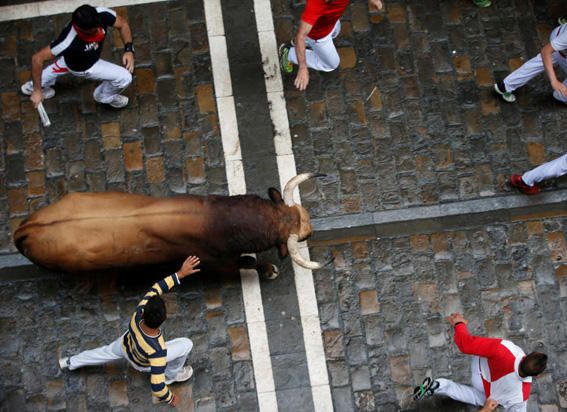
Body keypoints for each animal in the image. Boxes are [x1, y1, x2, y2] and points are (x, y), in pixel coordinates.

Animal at [13, 174, 326, 274]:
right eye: (301, 236)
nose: (310, 225)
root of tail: (24, 228)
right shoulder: (219, 263)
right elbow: (246, 263)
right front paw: (268, 270)